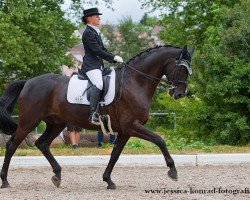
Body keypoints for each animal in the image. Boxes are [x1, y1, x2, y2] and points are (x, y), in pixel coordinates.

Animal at [0, 44, 193, 189]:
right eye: (182, 68)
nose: (180, 94)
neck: (135, 82)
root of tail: (28, 82)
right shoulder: (132, 125)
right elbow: (160, 140)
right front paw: (172, 171)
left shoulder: (125, 131)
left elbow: (115, 154)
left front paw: (108, 180)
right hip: (29, 121)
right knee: (12, 145)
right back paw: (5, 181)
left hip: (56, 123)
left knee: (42, 143)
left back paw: (57, 175)